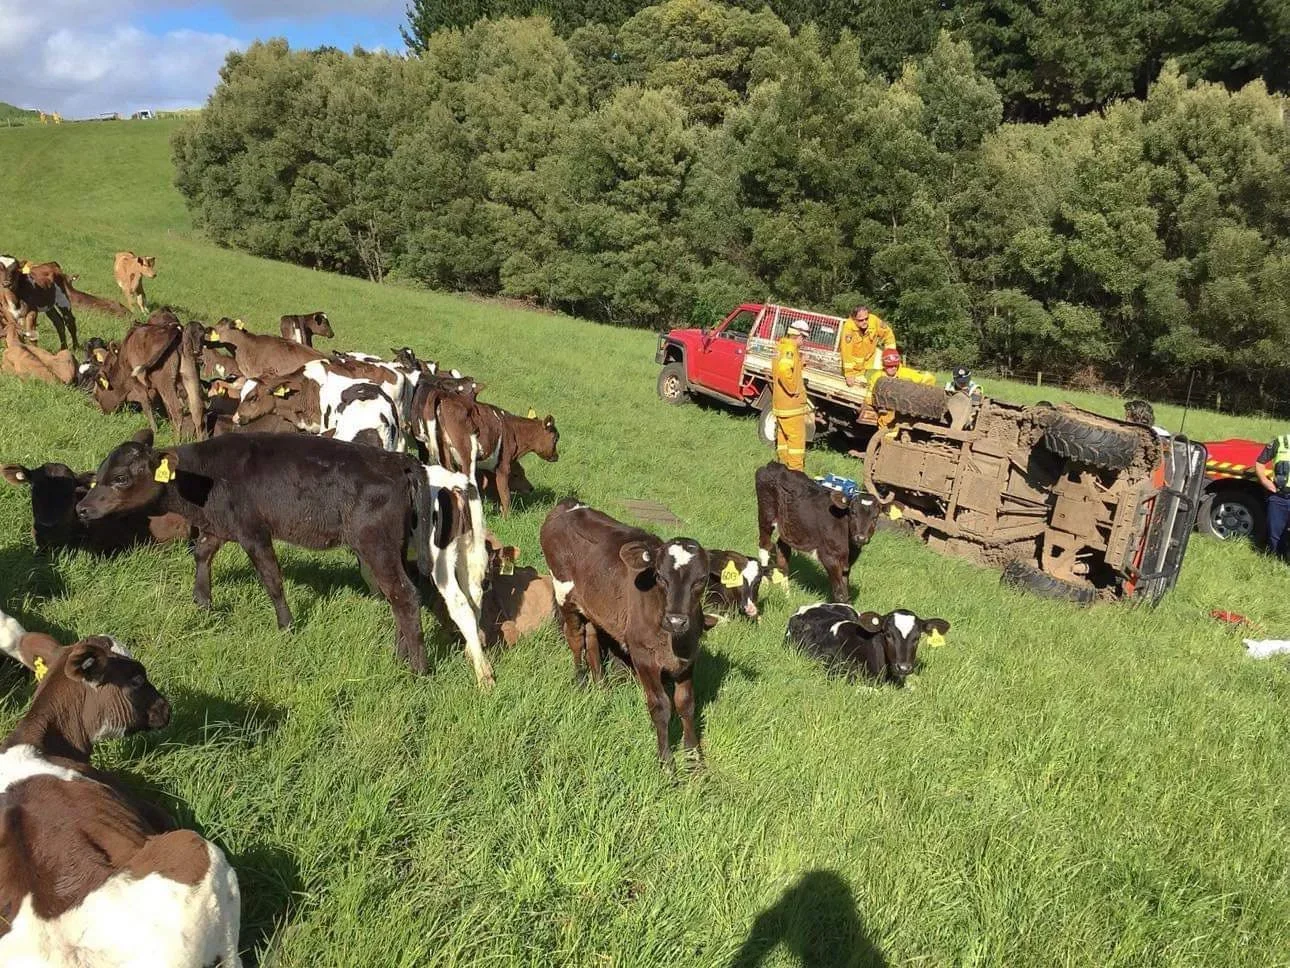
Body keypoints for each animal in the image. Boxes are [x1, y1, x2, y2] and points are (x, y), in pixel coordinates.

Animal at [75, 429, 494, 686]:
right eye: (99, 474)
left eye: (120, 479)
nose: (81, 508)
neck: (204, 478)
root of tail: (399, 460)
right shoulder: (224, 525)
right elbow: (203, 552)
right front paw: (204, 601)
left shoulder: (254, 531)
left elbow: (272, 578)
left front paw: (286, 625)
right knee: (406, 597)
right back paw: (403, 655)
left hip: (377, 545)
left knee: (407, 597)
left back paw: (419, 669)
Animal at [540, 500, 712, 764]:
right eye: (659, 576)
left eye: (701, 579)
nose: (676, 620)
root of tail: (569, 504)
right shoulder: (643, 656)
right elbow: (661, 706)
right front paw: (666, 762)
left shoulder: (688, 657)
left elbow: (686, 704)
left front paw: (694, 758)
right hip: (564, 593)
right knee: (576, 638)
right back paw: (580, 680)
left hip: (594, 603)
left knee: (591, 638)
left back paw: (601, 687)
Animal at [755, 463, 882, 603]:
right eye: (853, 512)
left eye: (875, 517)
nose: (860, 538)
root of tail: (773, 465)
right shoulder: (828, 556)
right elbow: (840, 594)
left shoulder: (847, 563)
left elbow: (845, 591)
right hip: (766, 514)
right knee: (765, 546)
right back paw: (764, 585)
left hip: (789, 527)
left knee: (782, 549)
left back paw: (786, 594)